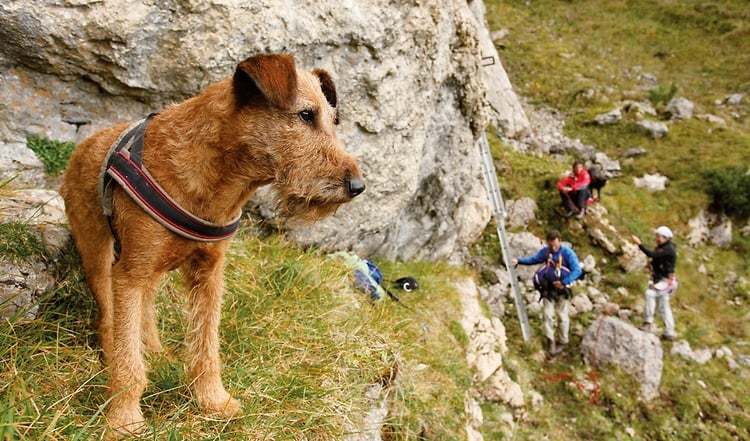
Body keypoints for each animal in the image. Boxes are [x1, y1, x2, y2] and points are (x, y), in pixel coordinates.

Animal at [60, 54, 366, 434]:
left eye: (332, 119)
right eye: (306, 115)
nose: (357, 186)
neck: (213, 175)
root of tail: (82, 145)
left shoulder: (208, 273)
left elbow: (206, 346)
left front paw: (212, 401)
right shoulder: (129, 273)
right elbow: (128, 358)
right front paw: (125, 418)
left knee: (146, 309)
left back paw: (156, 352)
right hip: (99, 252)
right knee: (108, 315)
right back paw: (114, 356)